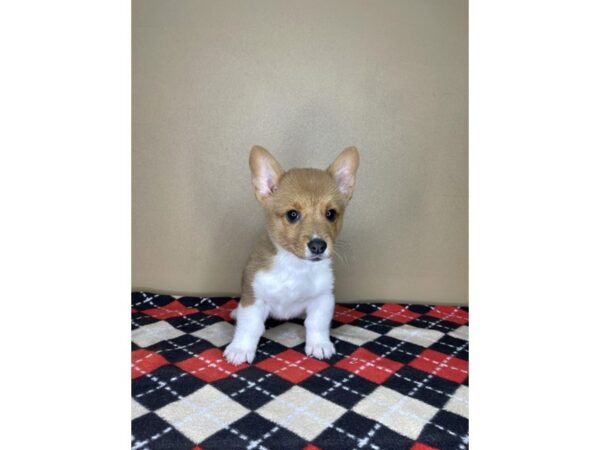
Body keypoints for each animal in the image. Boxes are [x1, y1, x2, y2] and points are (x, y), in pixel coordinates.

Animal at [223, 147, 358, 366]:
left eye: (331, 214)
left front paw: (319, 344)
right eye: (292, 214)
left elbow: (317, 324)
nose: (318, 245)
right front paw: (240, 349)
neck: (295, 267)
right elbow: (249, 327)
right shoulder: (254, 300)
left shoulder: (323, 299)